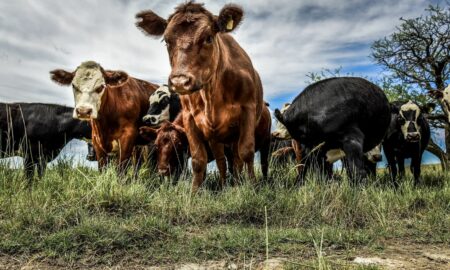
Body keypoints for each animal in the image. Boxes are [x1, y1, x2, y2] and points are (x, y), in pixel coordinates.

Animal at [135, 2, 266, 192]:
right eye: (166, 41)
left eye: (209, 38)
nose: (180, 82)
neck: (213, 94)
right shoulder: (190, 119)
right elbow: (198, 161)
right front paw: (194, 193)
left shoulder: (247, 111)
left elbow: (246, 152)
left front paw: (252, 188)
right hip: (216, 137)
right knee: (222, 162)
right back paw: (224, 185)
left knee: (236, 160)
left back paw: (237, 182)